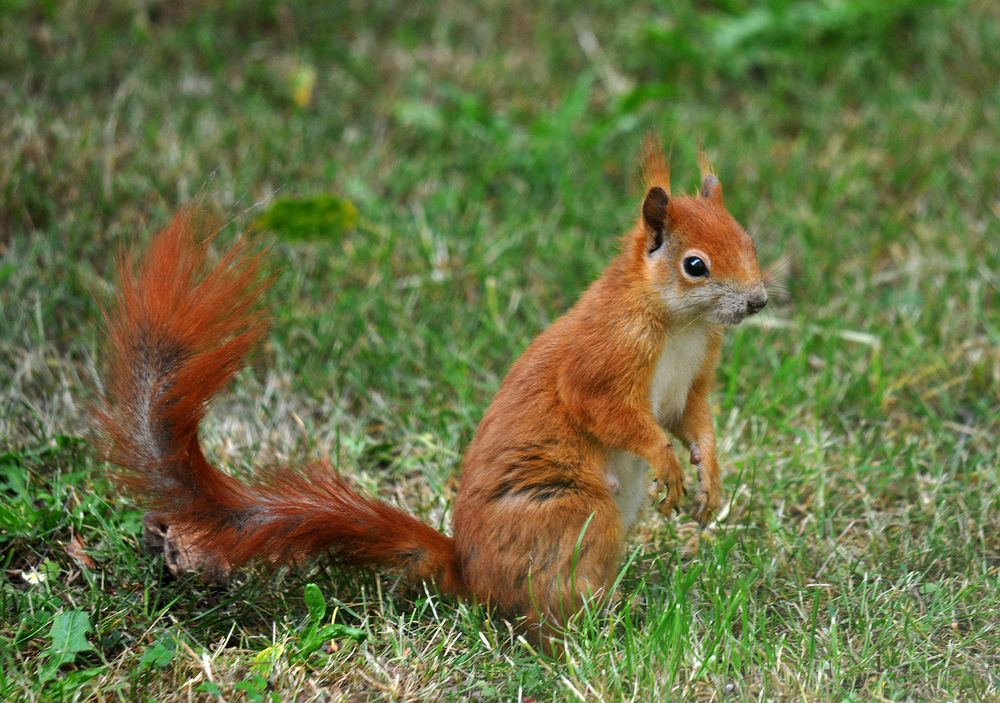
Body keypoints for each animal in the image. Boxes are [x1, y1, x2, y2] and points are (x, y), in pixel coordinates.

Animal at [97, 135, 764, 640]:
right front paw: (666, 461)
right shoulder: (601, 359)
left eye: (750, 241)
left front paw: (708, 474)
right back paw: (598, 627)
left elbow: (691, 419)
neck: (679, 323)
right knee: (544, 612)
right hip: (573, 513)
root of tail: (470, 574)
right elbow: (608, 412)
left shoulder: (693, 377)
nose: (758, 300)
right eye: (695, 265)